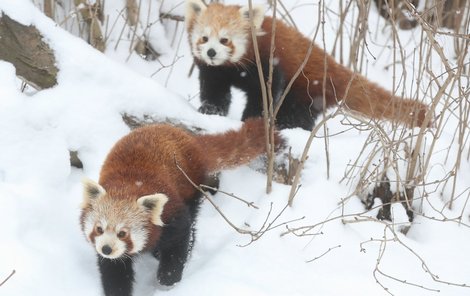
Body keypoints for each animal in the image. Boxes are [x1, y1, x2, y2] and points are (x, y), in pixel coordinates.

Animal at [80, 118, 282, 296]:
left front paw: (168, 279)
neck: (127, 187)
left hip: (191, 185)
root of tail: (189, 138)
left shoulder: (171, 211)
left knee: (192, 220)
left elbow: (179, 239)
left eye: (123, 233)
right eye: (99, 229)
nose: (106, 249)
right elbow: (114, 270)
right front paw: (117, 290)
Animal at [185, 0, 432, 130]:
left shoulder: (268, 65)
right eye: (204, 38)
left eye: (225, 40)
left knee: (298, 114)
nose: (211, 52)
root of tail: (335, 67)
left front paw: (253, 119)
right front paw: (210, 110)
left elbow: (265, 95)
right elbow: (215, 91)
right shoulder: (214, 72)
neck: (235, 69)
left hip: (308, 91)